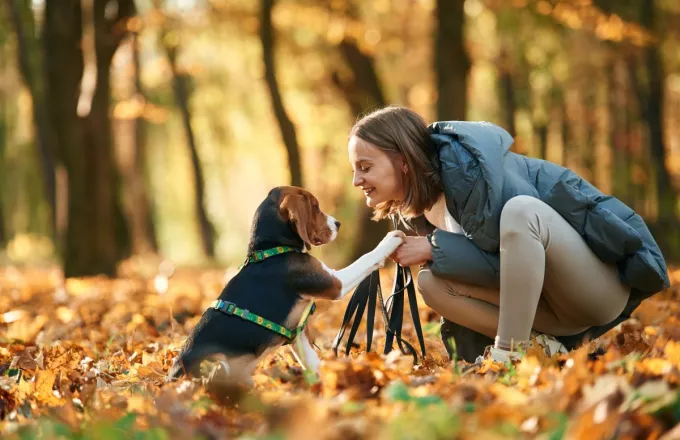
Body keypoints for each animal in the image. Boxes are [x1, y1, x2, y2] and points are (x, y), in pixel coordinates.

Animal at [167, 186, 404, 388]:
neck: (272, 248)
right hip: (217, 363)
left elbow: (313, 362)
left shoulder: (298, 333)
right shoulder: (336, 283)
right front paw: (390, 240)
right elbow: (366, 258)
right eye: (315, 206)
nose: (338, 224)